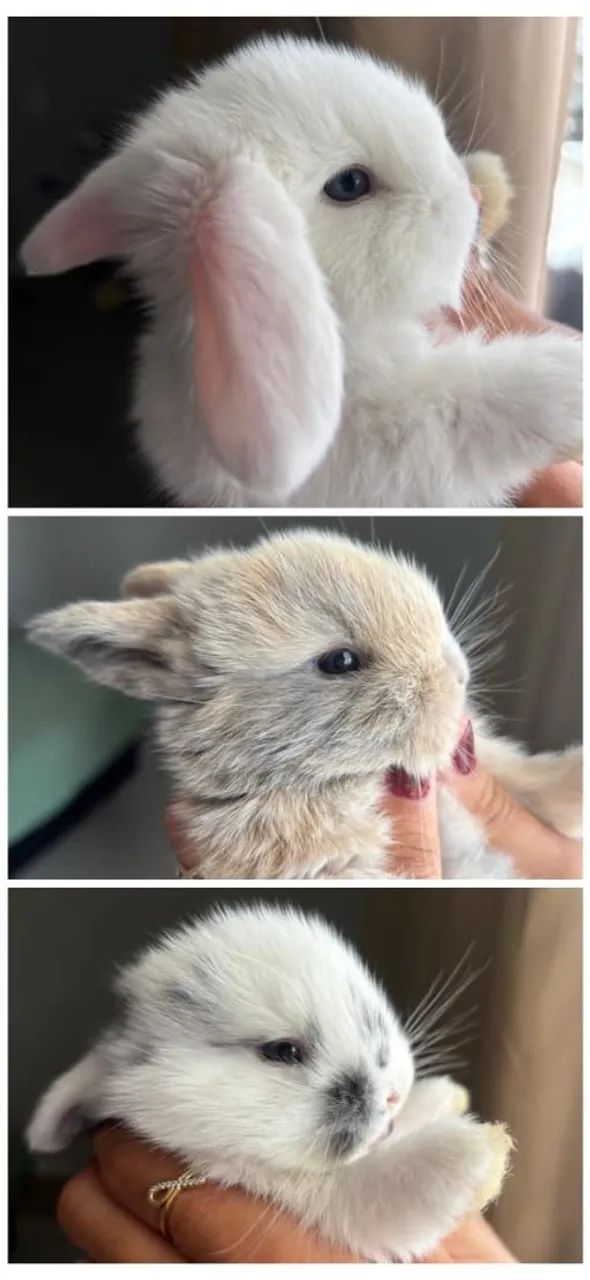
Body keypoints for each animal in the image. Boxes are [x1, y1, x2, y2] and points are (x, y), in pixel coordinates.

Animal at [20, 36, 581, 509]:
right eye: (350, 184)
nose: (474, 197)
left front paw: (493, 176)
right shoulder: (403, 444)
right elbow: (472, 403)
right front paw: (568, 382)